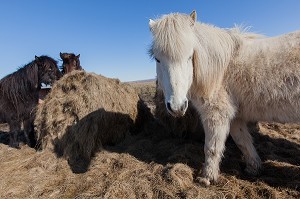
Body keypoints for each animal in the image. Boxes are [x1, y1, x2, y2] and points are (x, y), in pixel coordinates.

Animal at [149, 10, 300, 185]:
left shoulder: (216, 114)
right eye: (157, 59)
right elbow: (243, 141)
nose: (177, 107)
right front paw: (253, 168)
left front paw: (206, 177)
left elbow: (211, 148)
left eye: (189, 56)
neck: (221, 70)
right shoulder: (235, 117)